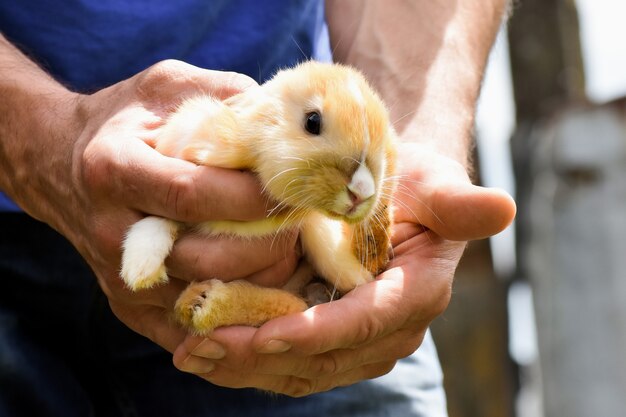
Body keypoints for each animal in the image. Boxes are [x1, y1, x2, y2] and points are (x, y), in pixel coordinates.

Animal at [120, 61, 394, 334]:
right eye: (312, 121)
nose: (362, 192)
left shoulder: (312, 226)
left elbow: (327, 250)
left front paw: (360, 276)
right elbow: (158, 220)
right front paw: (139, 270)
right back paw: (199, 302)